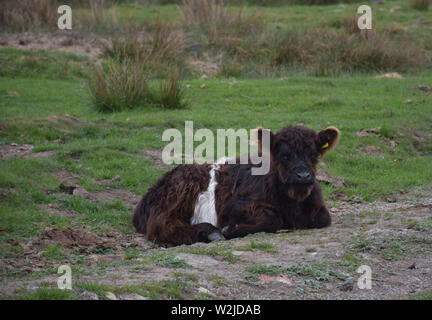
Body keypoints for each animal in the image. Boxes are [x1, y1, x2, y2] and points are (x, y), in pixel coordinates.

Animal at [133, 125, 340, 245]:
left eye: (314, 154)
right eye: (284, 155)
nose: (303, 176)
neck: (291, 203)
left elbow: (324, 217)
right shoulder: (233, 207)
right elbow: (273, 218)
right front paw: (231, 229)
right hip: (181, 187)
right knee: (160, 225)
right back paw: (210, 232)